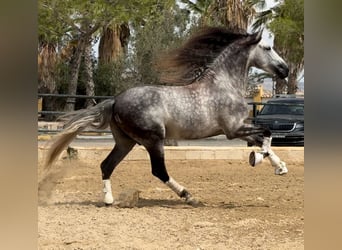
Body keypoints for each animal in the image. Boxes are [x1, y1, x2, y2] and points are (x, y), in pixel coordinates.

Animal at [46, 27, 288, 206]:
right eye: (268, 47)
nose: (285, 70)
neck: (223, 84)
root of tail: (115, 101)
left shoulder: (240, 130)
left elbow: (263, 139)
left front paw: (280, 167)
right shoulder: (234, 129)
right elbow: (267, 133)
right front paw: (258, 158)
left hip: (126, 142)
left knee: (106, 165)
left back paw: (108, 200)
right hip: (153, 140)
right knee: (158, 170)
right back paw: (188, 196)